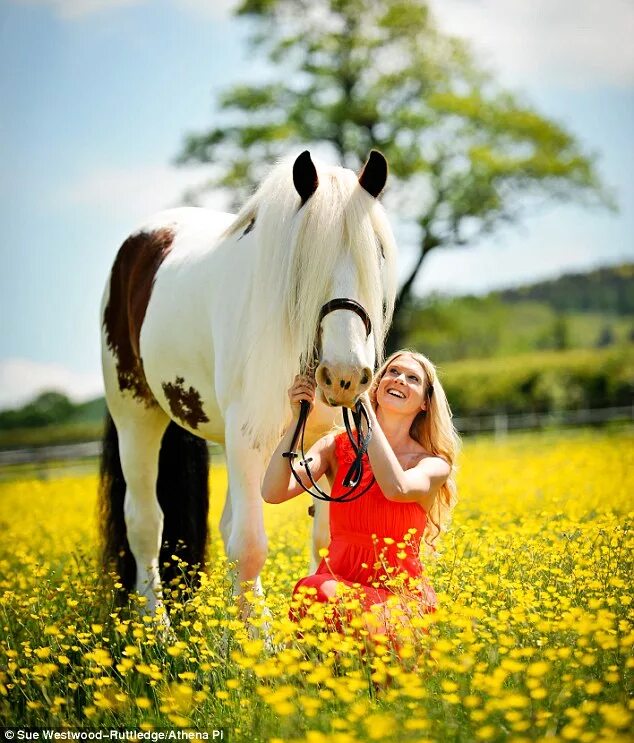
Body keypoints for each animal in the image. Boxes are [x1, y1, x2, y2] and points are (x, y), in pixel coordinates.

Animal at [98, 151, 396, 628]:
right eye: (302, 257)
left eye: (378, 252)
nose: (344, 375)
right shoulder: (248, 438)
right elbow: (251, 547)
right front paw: (260, 643)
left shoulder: (327, 440)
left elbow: (325, 540)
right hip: (136, 418)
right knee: (145, 524)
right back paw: (157, 627)